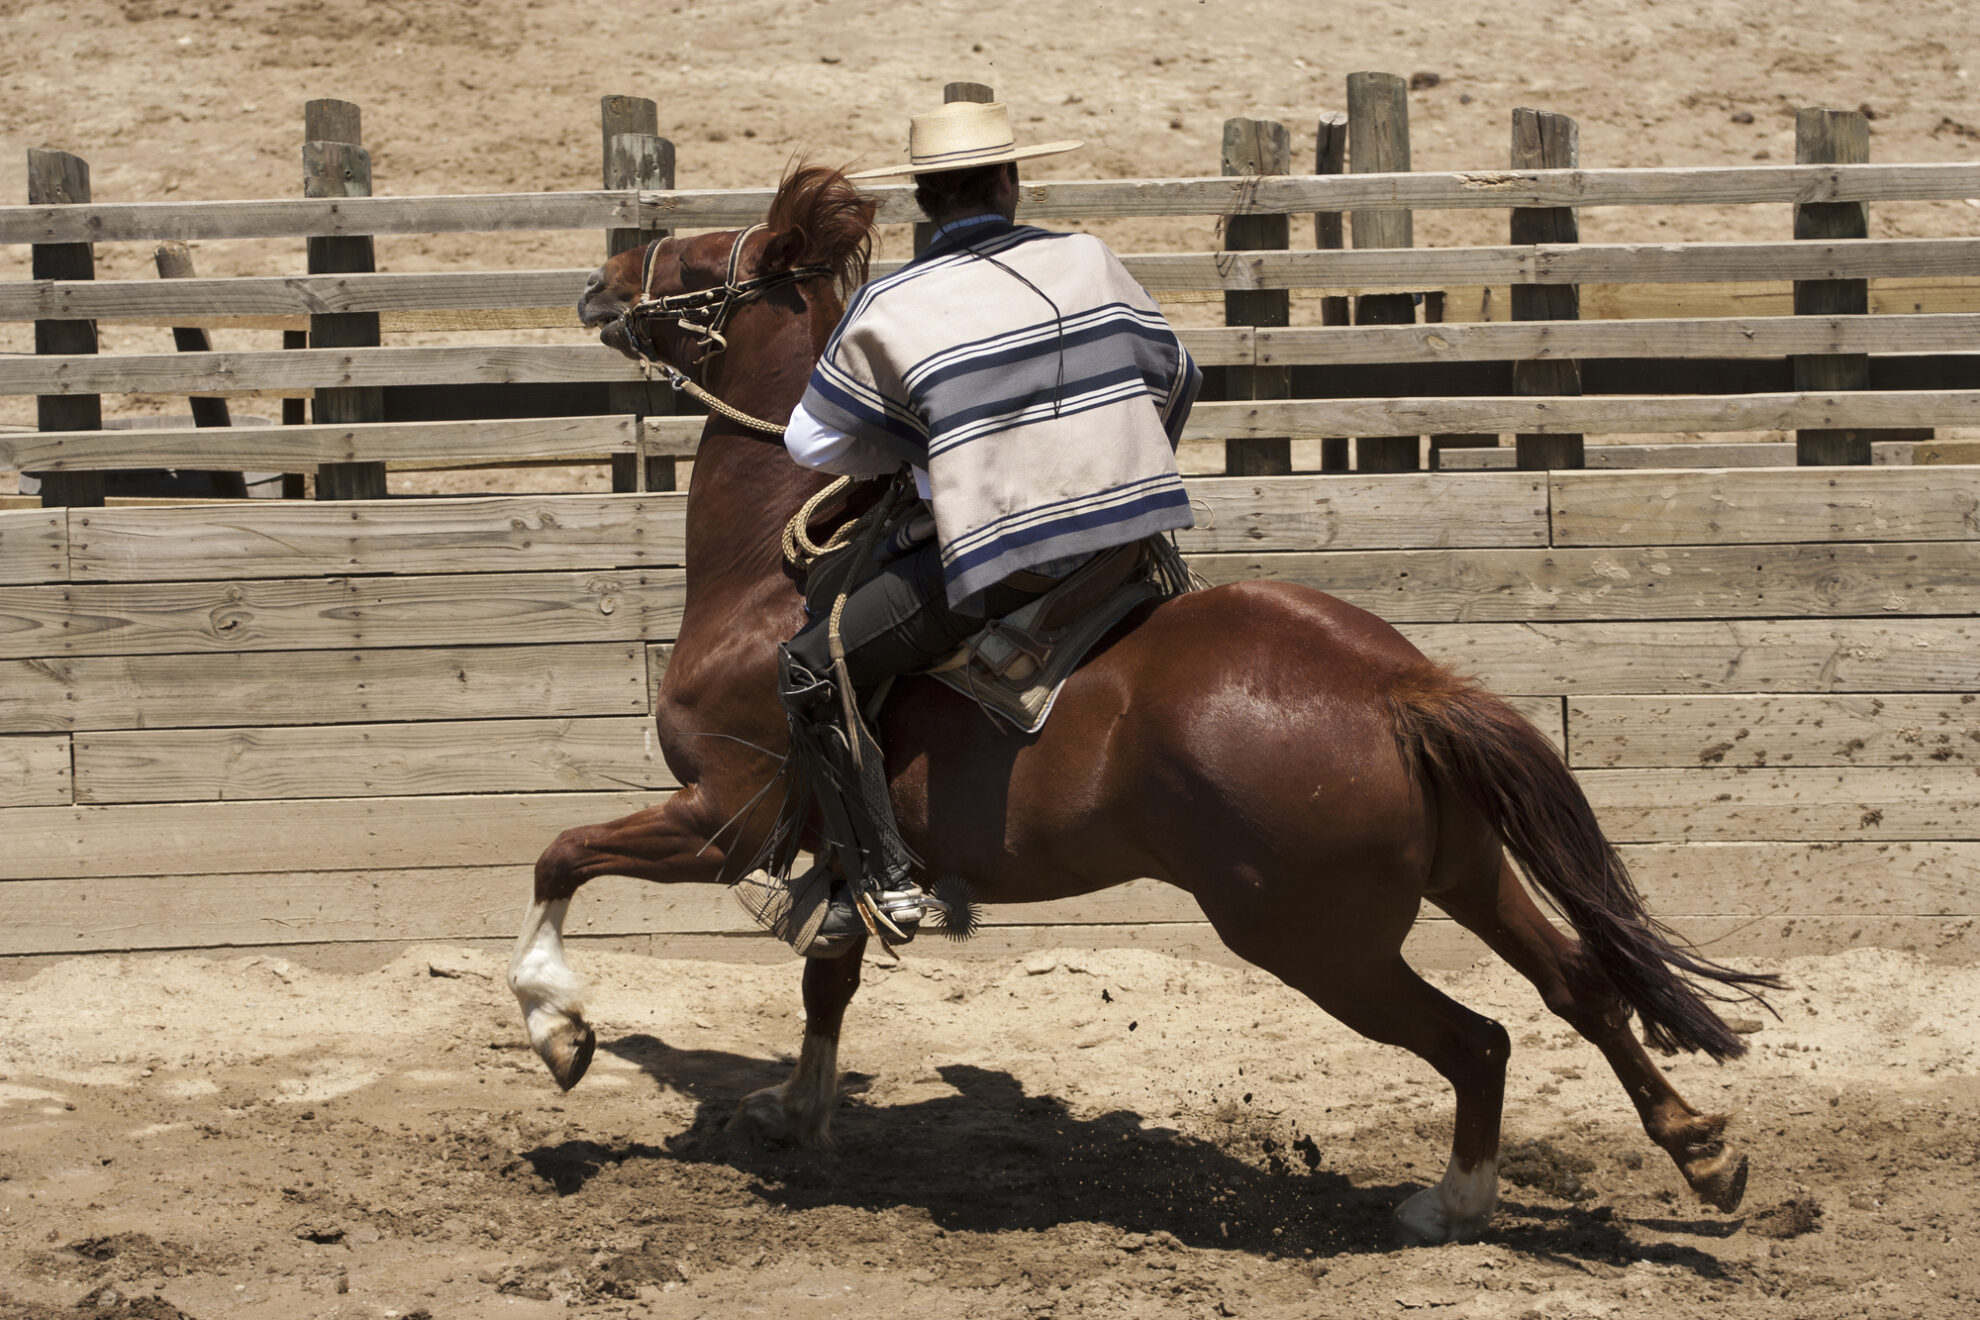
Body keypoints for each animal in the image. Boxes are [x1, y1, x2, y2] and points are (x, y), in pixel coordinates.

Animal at [509, 163, 1780, 1244]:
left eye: (697, 258)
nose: (602, 278)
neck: (772, 579)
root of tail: (1394, 684)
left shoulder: (720, 818)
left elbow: (561, 855)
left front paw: (560, 1027)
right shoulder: (840, 847)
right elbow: (831, 973)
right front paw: (793, 1110)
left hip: (1318, 940)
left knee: (1478, 1040)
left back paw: (1453, 1203)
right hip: (1465, 872)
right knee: (1579, 987)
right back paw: (1704, 1153)